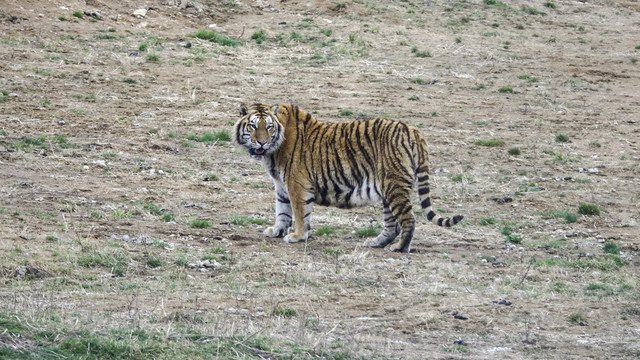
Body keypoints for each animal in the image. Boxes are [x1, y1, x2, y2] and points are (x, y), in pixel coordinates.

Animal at [232, 102, 462, 252]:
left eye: (269, 126)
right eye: (253, 126)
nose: (262, 142)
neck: (272, 151)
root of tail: (414, 130)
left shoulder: (296, 184)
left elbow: (299, 213)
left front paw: (297, 236)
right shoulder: (281, 185)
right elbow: (282, 210)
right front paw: (277, 230)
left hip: (395, 185)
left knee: (408, 220)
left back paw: (399, 248)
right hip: (389, 188)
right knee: (392, 224)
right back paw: (376, 243)